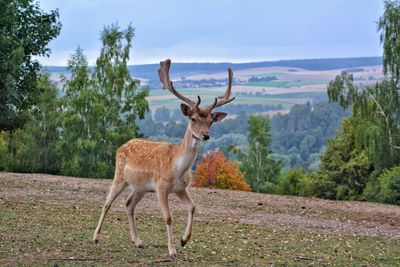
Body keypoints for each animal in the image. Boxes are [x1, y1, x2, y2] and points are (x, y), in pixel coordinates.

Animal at [92, 58, 234, 260]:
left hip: (140, 187)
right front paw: (172, 251)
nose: (206, 135)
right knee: (107, 202)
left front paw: (184, 240)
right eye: (193, 118)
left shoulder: (181, 188)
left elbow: (193, 207)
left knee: (128, 204)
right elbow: (168, 217)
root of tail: (120, 147)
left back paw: (137, 241)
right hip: (120, 176)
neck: (177, 168)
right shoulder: (161, 187)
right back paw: (96, 237)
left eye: (211, 121)